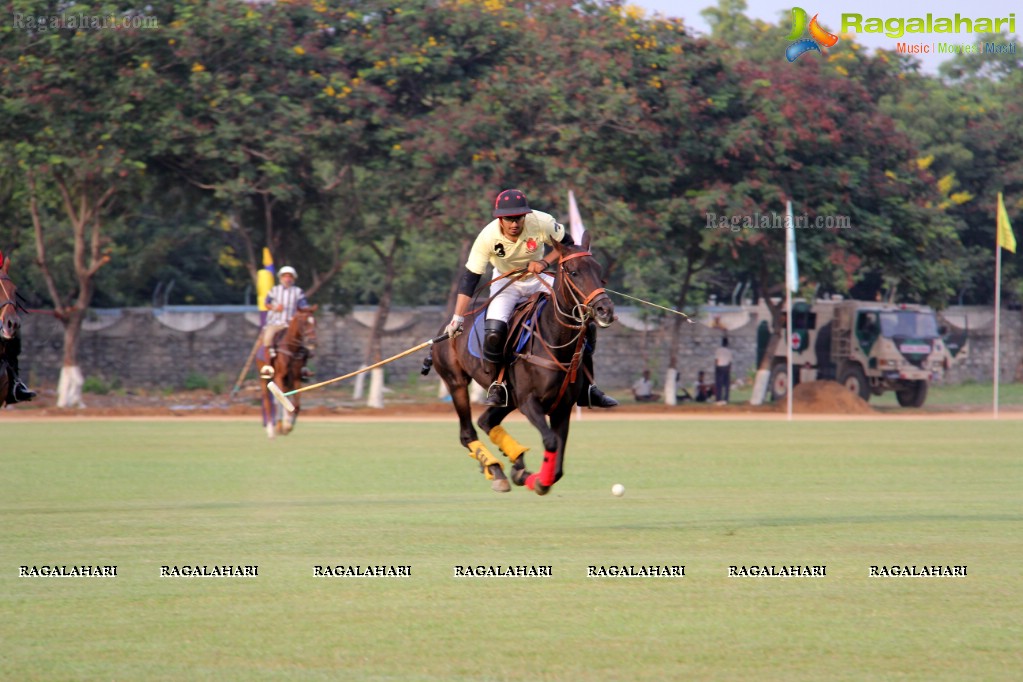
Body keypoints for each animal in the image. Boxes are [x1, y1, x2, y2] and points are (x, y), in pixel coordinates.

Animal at [425, 235, 609, 496]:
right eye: (573, 272)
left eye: (599, 270)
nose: (605, 310)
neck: (554, 341)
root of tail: (443, 329)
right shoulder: (529, 402)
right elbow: (550, 441)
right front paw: (537, 481)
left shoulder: (562, 408)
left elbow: (558, 464)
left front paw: (528, 475)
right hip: (457, 382)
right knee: (467, 432)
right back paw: (496, 469)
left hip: (509, 397)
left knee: (487, 421)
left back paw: (513, 465)